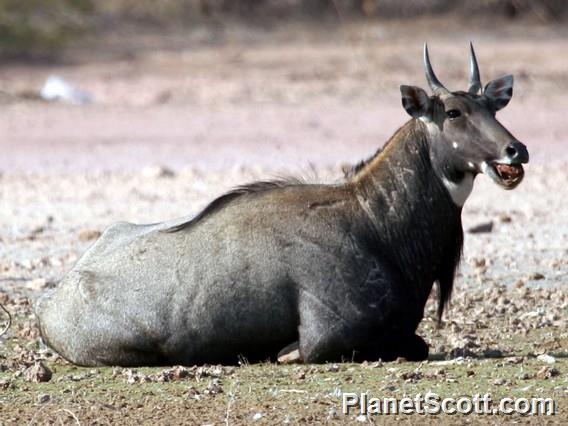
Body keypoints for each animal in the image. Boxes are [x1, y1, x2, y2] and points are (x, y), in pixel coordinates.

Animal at [35, 44, 524, 366]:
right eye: (454, 112)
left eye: (493, 107)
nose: (516, 151)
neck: (374, 223)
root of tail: (53, 303)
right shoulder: (325, 335)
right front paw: (281, 353)